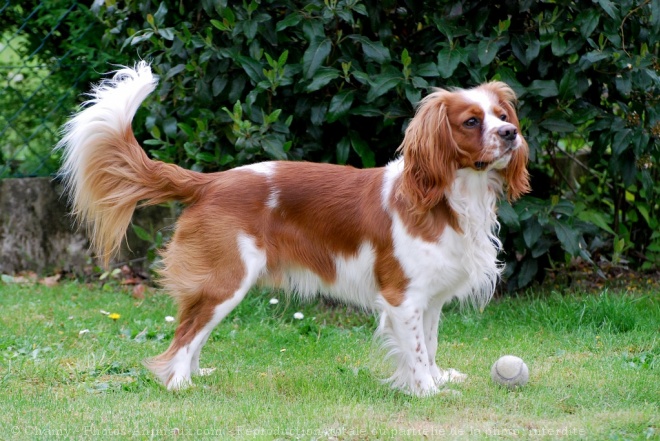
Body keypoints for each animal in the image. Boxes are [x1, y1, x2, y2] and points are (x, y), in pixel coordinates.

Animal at [58, 62, 532, 396]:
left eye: (502, 114)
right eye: (471, 122)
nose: (511, 133)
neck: (451, 197)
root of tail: (209, 182)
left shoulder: (428, 298)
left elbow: (428, 345)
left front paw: (436, 378)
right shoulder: (403, 297)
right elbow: (414, 351)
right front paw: (427, 392)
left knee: (192, 333)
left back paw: (197, 375)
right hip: (226, 280)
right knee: (183, 339)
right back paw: (179, 385)